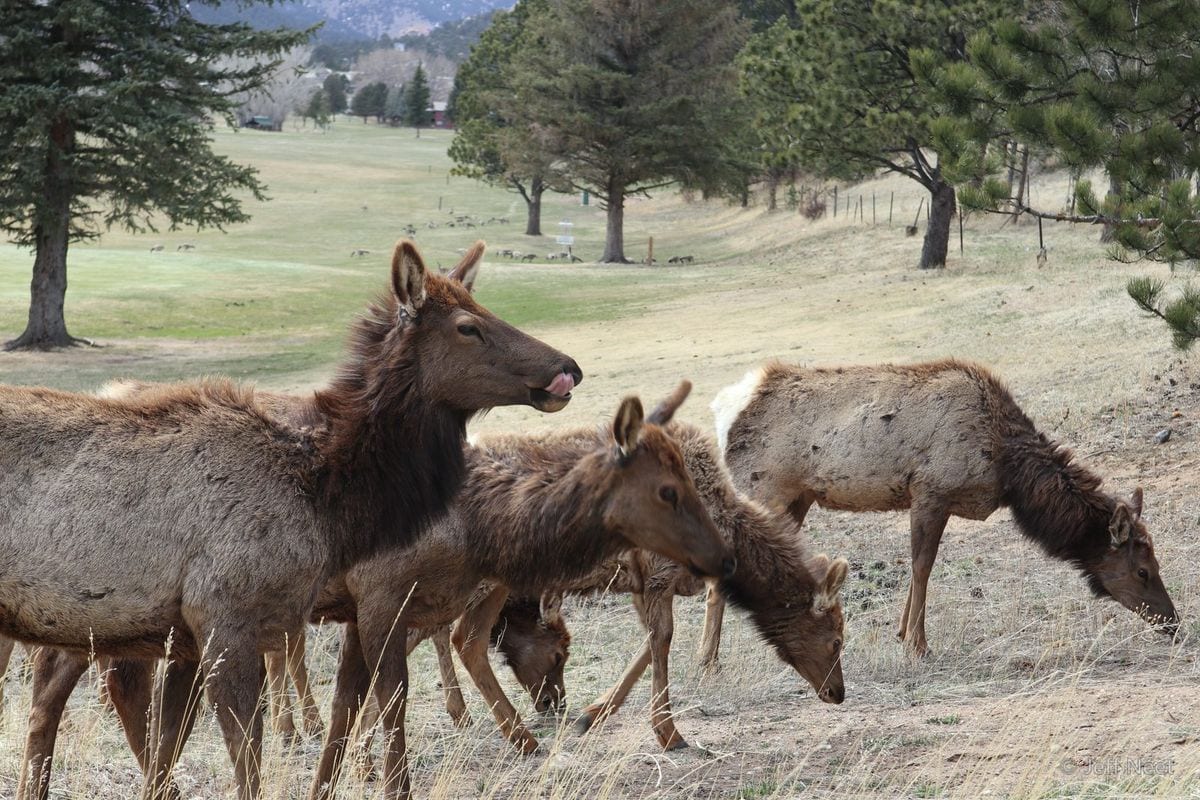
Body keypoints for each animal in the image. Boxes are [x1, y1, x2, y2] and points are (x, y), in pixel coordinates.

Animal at [0, 239, 581, 800]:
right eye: (468, 326)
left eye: (486, 308)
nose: (568, 368)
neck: (324, 499)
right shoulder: (233, 616)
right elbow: (251, 755)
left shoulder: (196, 632)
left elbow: (173, 747)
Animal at [711, 359, 1179, 658]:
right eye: (1143, 570)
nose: (1173, 622)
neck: (1007, 468)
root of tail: (724, 408)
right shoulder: (930, 490)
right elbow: (922, 566)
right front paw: (918, 646)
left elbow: (919, 568)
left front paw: (902, 634)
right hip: (761, 488)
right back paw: (708, 662)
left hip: (796, 499)